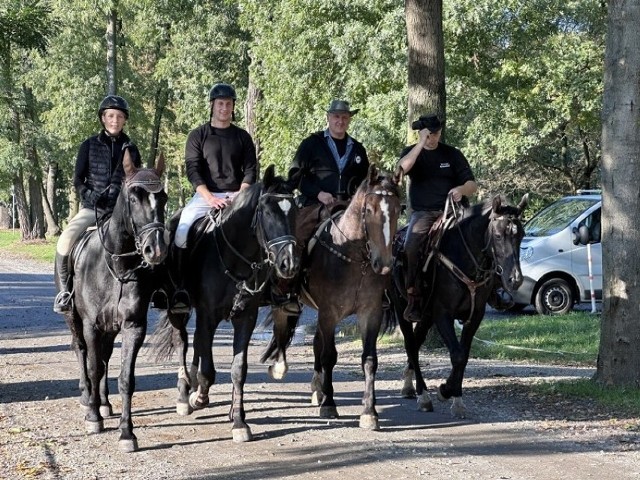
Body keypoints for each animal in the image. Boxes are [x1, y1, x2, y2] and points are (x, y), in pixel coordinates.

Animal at [59, 151, 169, 454]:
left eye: (163, 198)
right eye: (133, 197)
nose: (156, 250)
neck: (116, 267)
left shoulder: (133, 327)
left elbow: (125, 378)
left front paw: (126, 433)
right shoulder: (91, 326)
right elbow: (93, 366)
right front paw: (93, 417)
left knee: (105, 357)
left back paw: (104, 403)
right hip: (74, 319)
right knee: (82, 352)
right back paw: (89, 399)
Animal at [152, 165, 300, 442]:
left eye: (295, 210)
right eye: (267, 212)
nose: (290, 264)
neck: (236, 257)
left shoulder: (246, 317)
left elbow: (238, 369)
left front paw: (239, 421)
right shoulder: (208, 315)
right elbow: (208, 369)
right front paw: (198, 398)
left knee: (198, 344)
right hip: (180, 310)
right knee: (183, 341)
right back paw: (185, 395)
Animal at [260, 166, 400, 432]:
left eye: (400, 209)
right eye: (369, 210)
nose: (384, 264)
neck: (354, 258)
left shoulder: (371, 313)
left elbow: (369, 359)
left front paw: (369, 412)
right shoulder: (329, 313)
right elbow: (329, 356)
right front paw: (329, 404)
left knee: (315, 343)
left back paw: (317, 389)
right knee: (283, 328)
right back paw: (282, 367)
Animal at [388, 193, 528, 418]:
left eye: (521, 235)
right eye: (498, 236)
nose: (514, 280)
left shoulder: (475, 316)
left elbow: (464, 356)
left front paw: (454, 396)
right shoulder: (443, 314)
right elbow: (457, 355)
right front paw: (446, 391)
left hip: (425, 316)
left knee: (416, 343)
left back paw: (409, 386)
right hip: (403, 309)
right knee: (410, 344)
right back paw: (423, 395)